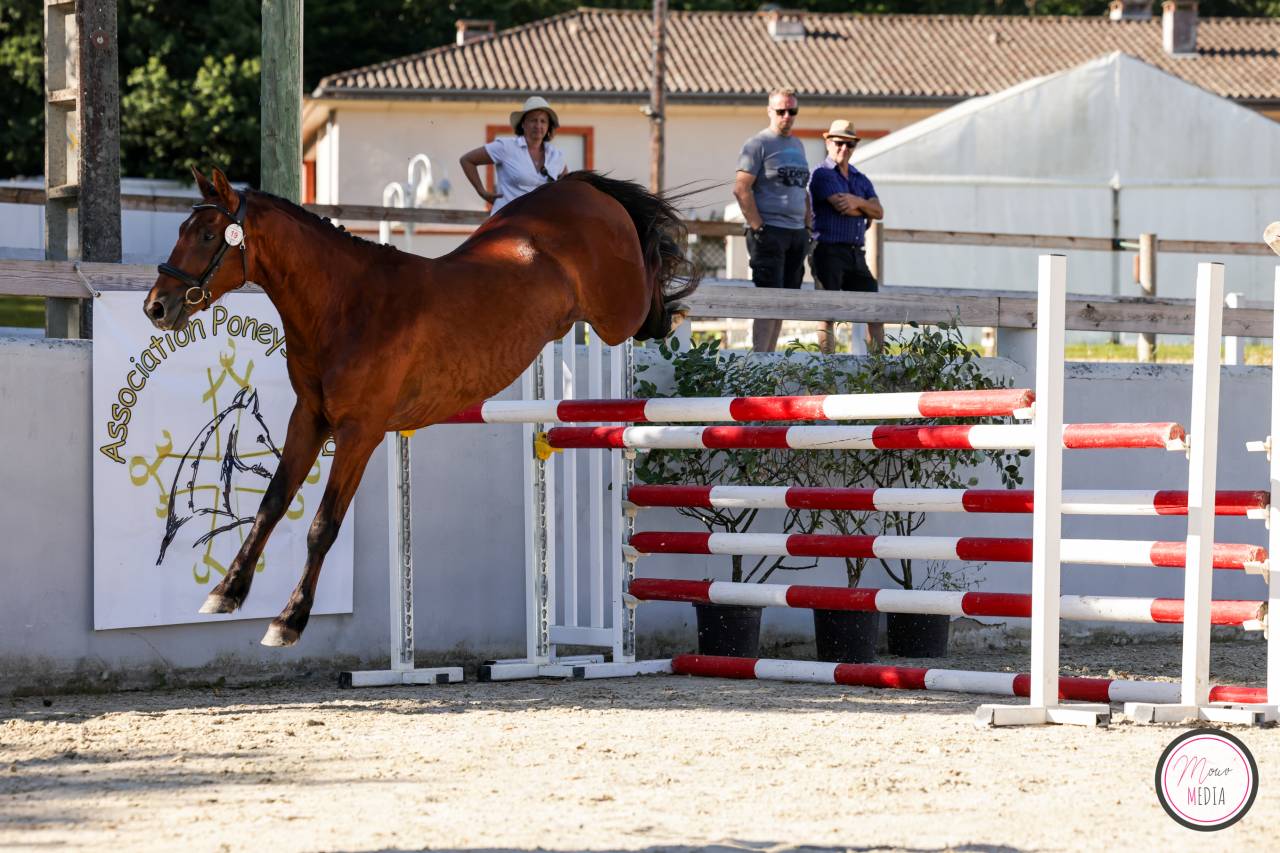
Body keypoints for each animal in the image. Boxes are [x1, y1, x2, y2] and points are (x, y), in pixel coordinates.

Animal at [144, 166, 697, 646]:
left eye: (208, 235)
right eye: (184, 229)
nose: (156, 306)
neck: (343, 305)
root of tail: (580, 188)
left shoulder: (359, 432)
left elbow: (322, 527)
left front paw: (289, 620)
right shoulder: (309, 419)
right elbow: (271, 505)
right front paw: (226, 592)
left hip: (615, 314)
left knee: (648, 298)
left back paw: (675, 309)